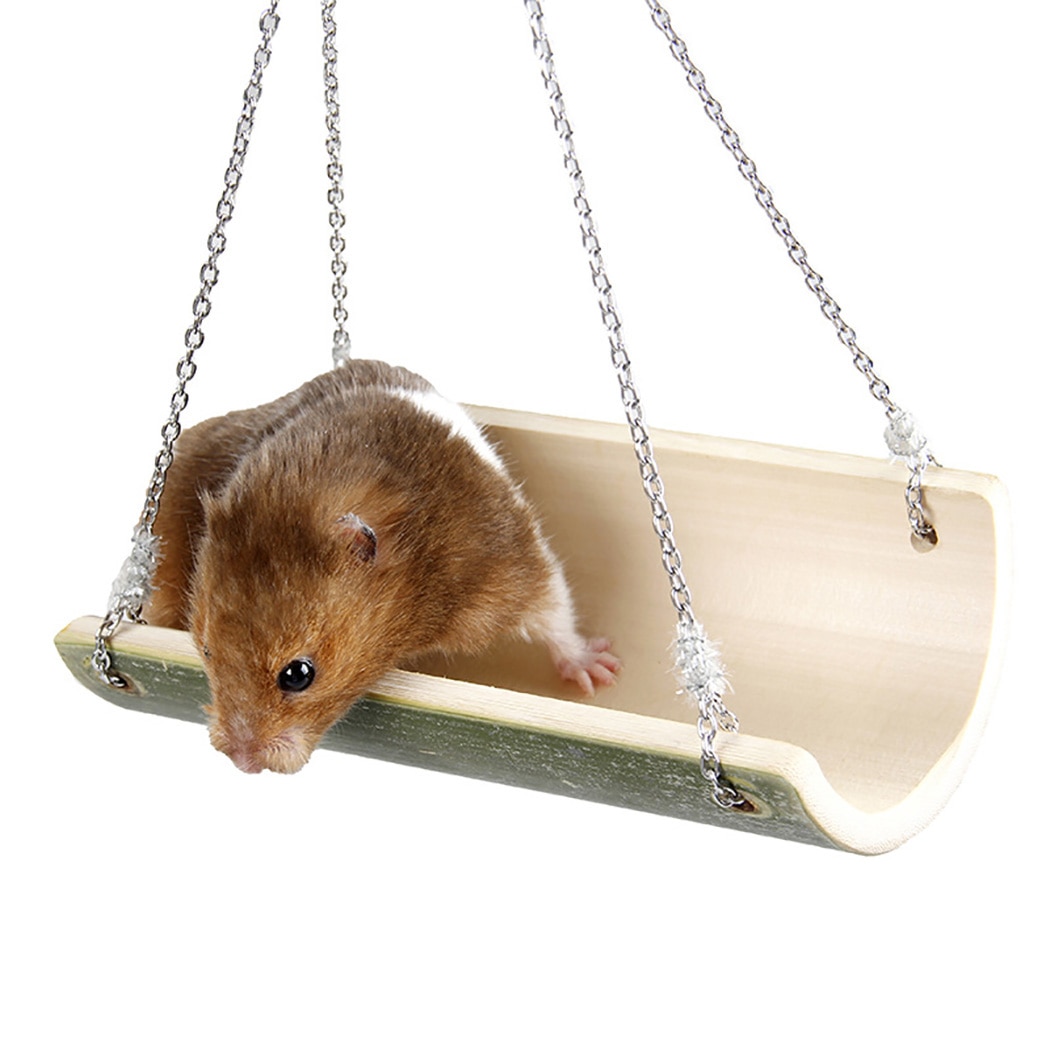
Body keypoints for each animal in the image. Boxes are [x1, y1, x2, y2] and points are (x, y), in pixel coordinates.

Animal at [145, 360, 620, 774]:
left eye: (298, 675)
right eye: (206, 650)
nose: (242, 764)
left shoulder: (505, 557)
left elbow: (554, 611)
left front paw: (599, 673)